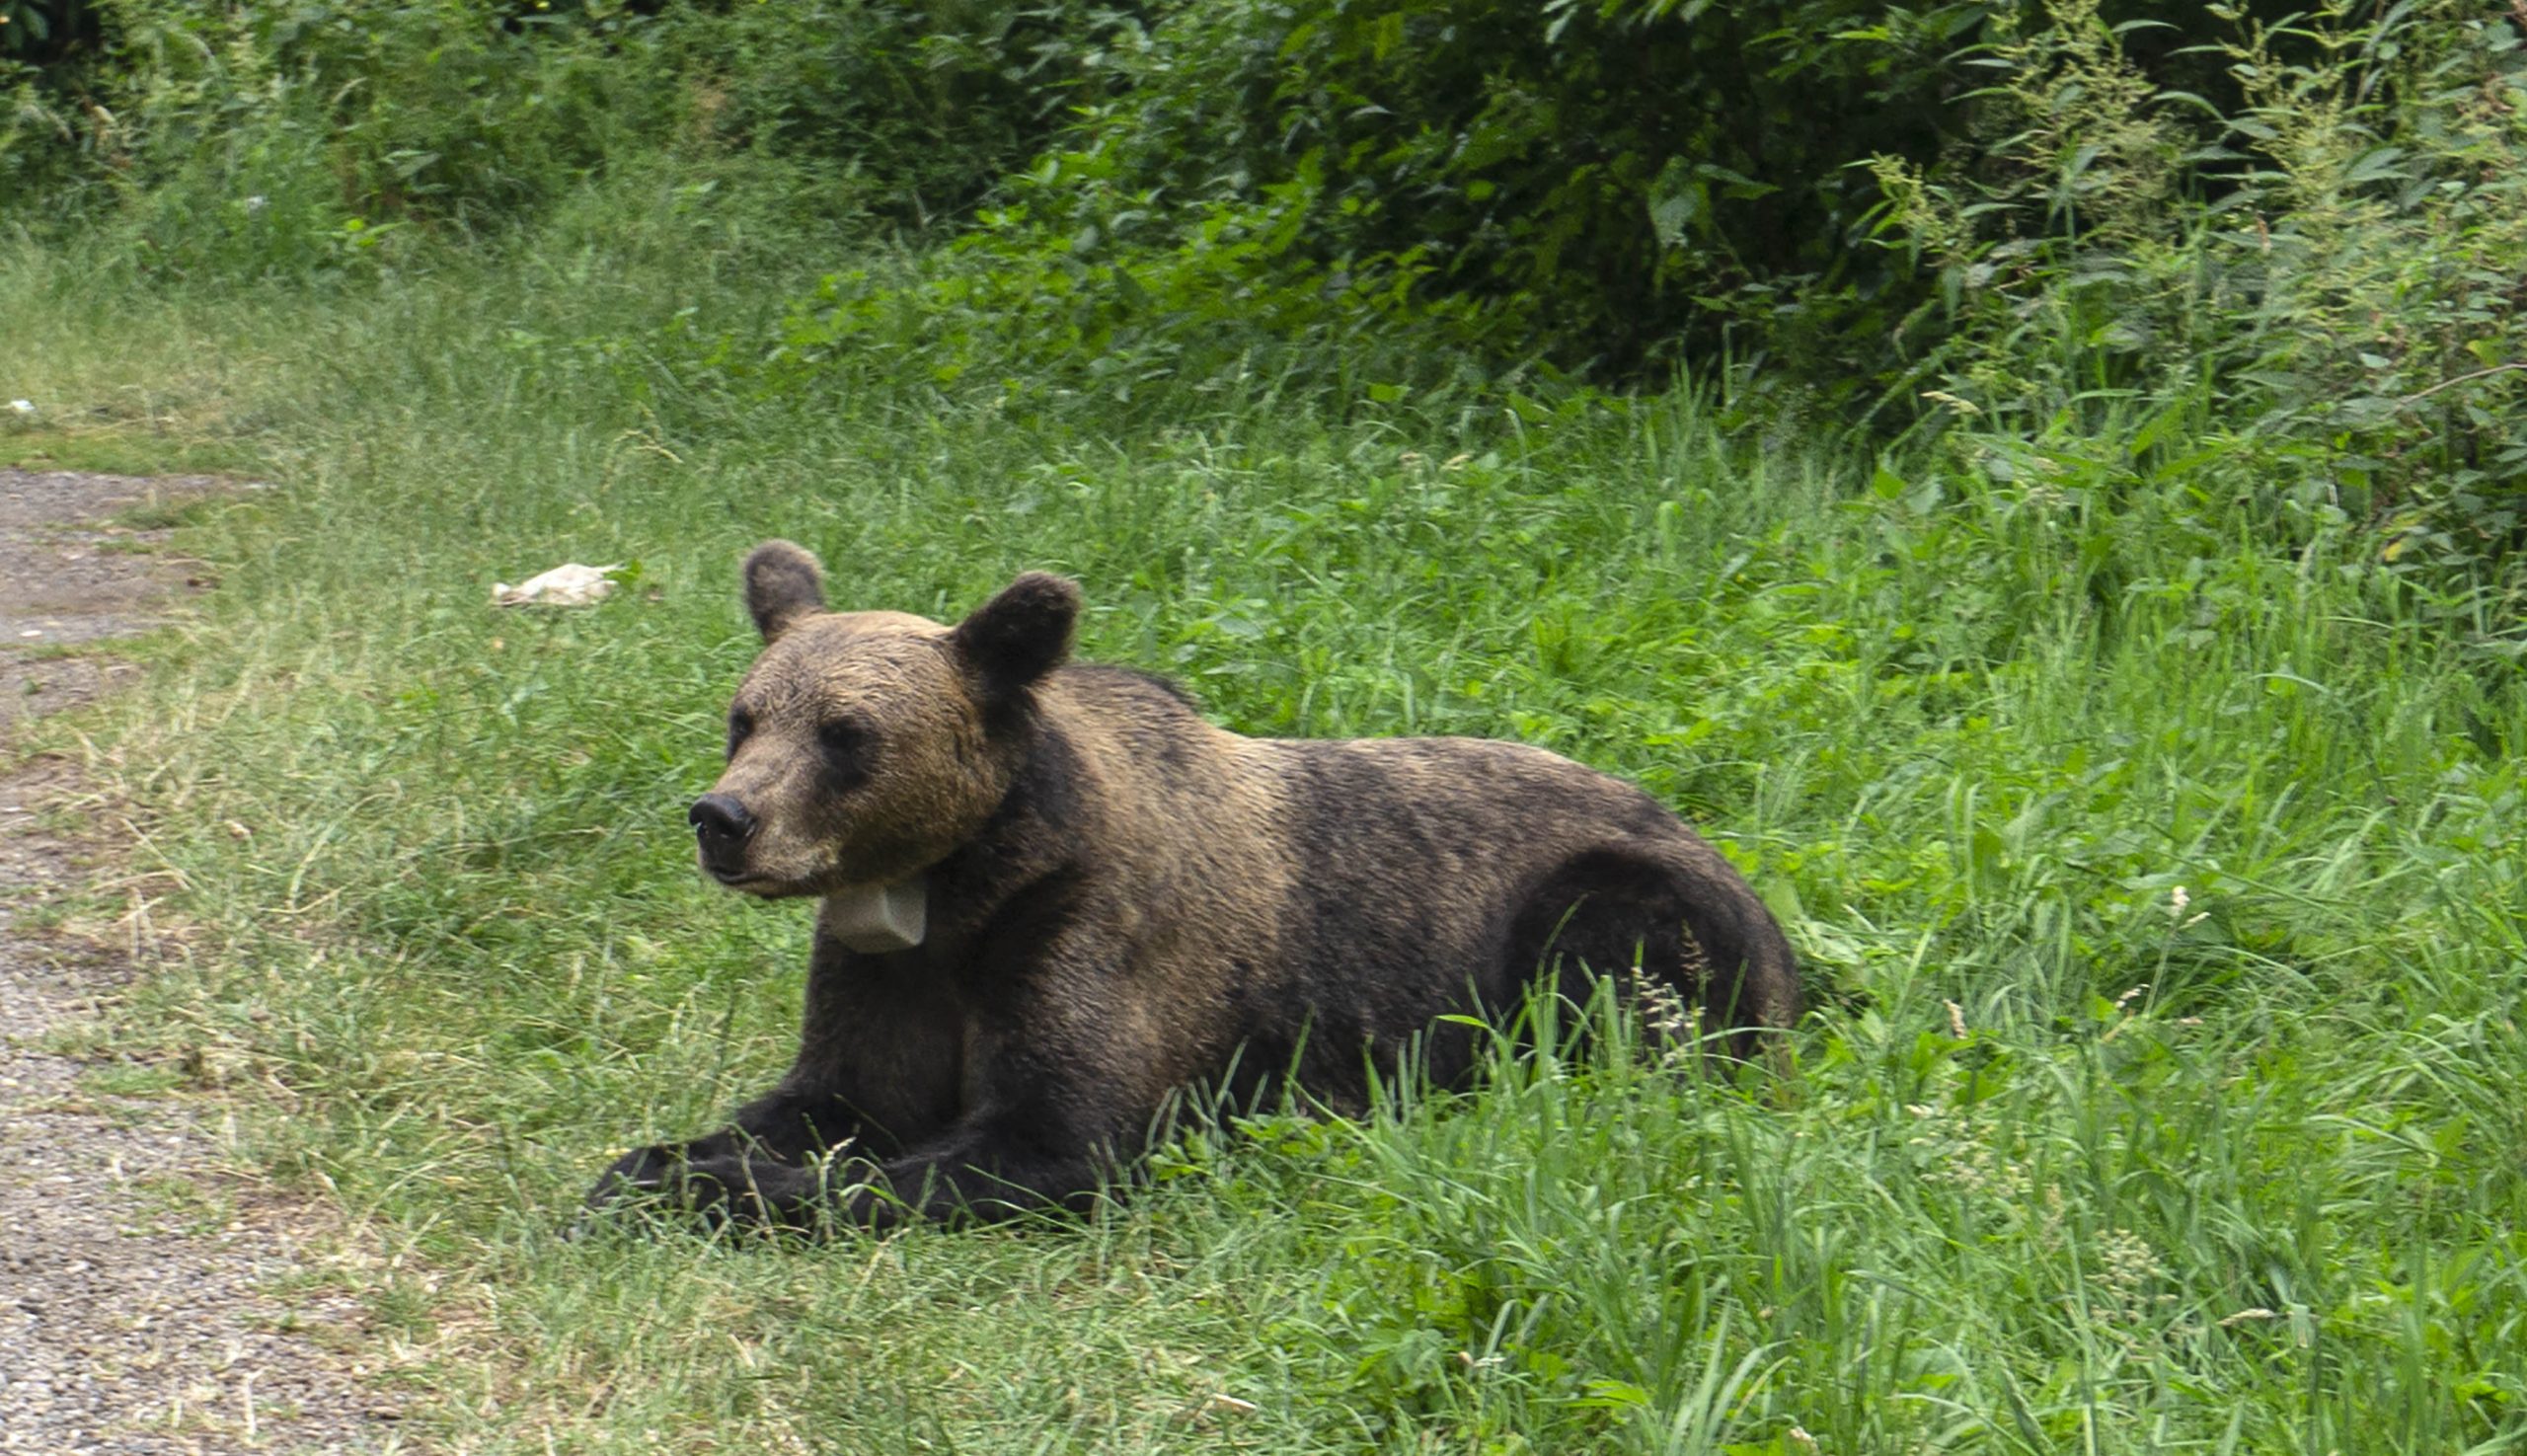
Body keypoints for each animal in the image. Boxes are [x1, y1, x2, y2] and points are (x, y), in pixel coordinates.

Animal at [585, 546, 1799, 1228]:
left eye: (845, 734)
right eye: (745, 717)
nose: (724, 819)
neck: (953, 888)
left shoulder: (1092, 941)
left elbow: (1035, 1140)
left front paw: (703, 1190)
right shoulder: (888, 967)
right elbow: (830, 1099)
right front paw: (650, 1163)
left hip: (1606, 902)